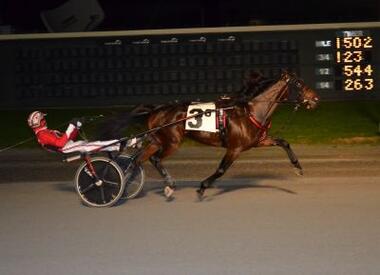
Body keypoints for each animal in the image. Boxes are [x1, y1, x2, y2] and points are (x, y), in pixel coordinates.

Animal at [135, 71, 320, 199]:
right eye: (298, 83)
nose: (316, 99)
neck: (251, 111)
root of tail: (156, 110)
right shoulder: (234, 148)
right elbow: (221, 169)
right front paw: (202, 187)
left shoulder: (258, 141)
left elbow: (283, 142)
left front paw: (298, 167)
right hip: (172, 142)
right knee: (155, 159)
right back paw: (169, 185)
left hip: (157, 141)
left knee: (141, 159)